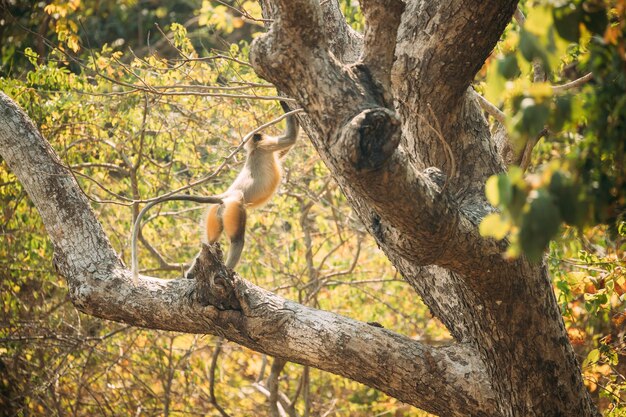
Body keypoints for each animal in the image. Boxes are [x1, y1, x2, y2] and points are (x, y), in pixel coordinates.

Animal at [130, 101, 298, 284]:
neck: (254, 150)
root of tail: (225, 196)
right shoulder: (265, 146)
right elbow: (291, 138)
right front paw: (285, 103)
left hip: (216, 211)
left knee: (210, 242)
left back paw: (191, 273)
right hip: (234, 206)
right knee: (237, 240)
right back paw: (226, 271)